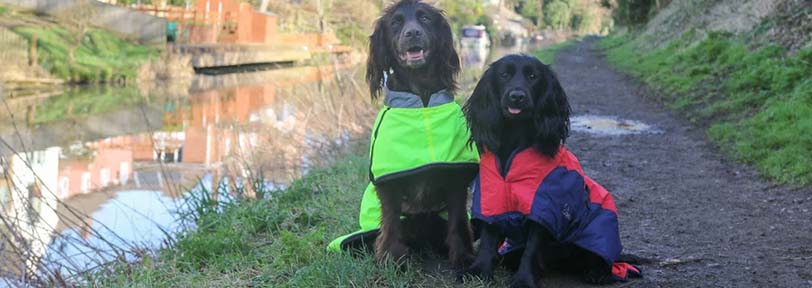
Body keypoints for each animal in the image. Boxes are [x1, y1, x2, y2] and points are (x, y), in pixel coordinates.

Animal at [364, 0, 476, 268]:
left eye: (424, 18)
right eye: (396, 23)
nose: (412, 33)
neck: (422, 103)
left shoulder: (455, 178)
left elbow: (458, 221)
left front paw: (463, 258)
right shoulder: (389, 183)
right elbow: (390, 222)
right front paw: (391, 258)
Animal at [460, 55, 636, 286]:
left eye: (532, 76)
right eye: (504, 74)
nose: (517, 96)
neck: (514, 144)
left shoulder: (544, 209)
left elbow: (532, 249)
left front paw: (524, 279)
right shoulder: (491, 200)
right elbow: (489, 239)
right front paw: (478, 270)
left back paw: (597, 272)